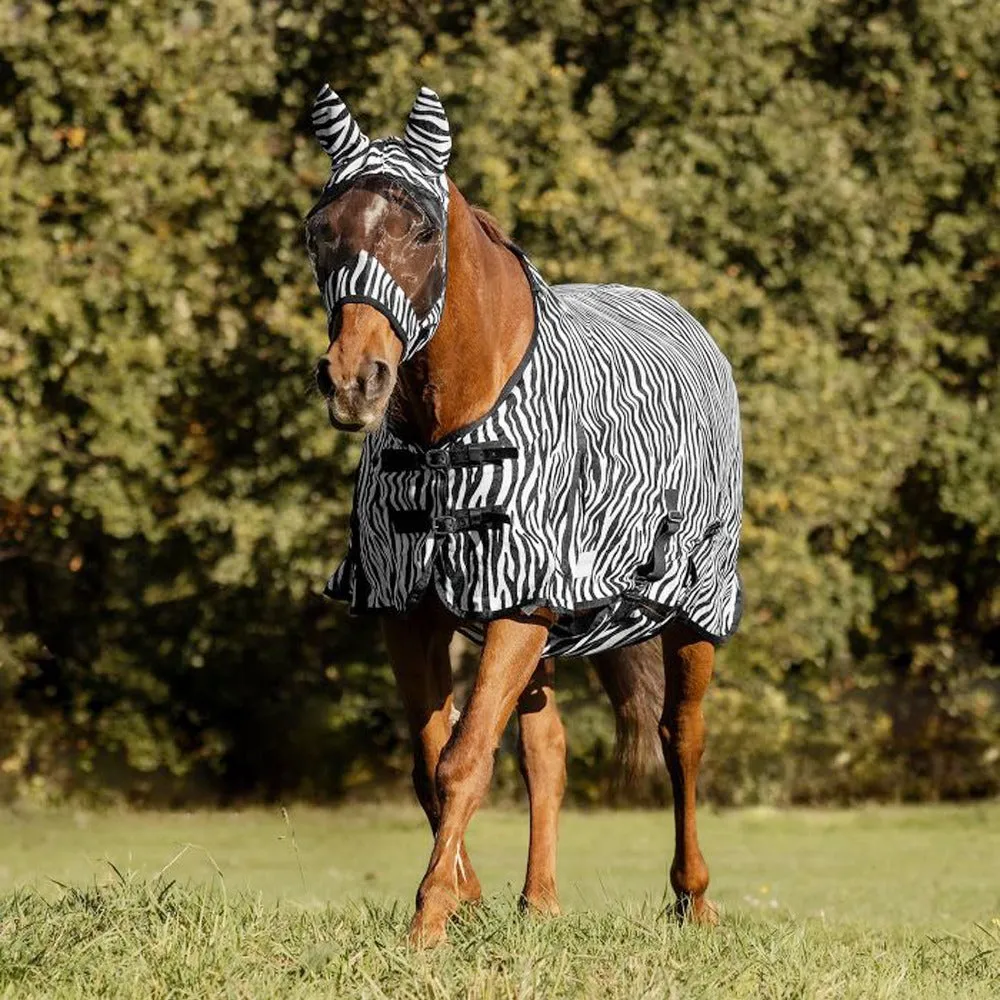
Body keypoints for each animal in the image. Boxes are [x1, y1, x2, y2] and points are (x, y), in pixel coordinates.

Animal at [304, 85, 743, 946]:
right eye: (319, 231)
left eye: (422, 230)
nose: (353, 381)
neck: (447, 435)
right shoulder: (412, 609)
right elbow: (433, 757)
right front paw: (466, 895)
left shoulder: (520, 601)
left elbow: (464, 758)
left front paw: (430, 916)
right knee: (548, 745)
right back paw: (539, 903)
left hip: (692, 605)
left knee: (681, 738)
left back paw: (694, 898)